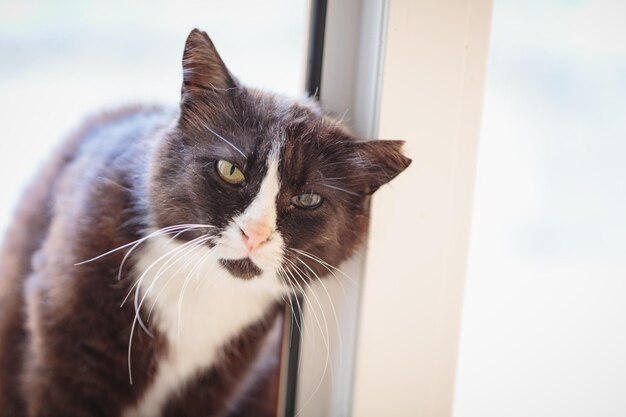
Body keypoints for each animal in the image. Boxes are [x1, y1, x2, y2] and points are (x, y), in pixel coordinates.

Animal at [0, 27, 410, 414]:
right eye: (230, 170)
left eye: (308, 199)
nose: (255, 234)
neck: (202, 287)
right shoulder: (68, 361)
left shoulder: (220, 378)